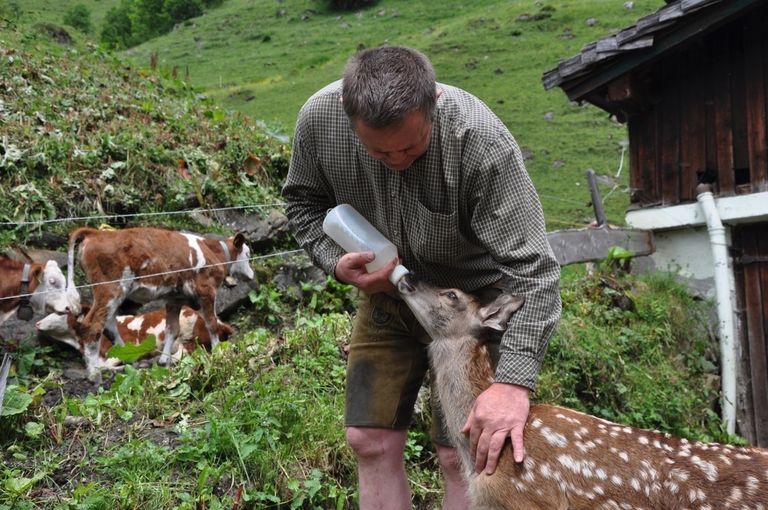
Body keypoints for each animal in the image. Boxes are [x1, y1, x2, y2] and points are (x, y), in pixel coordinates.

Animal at [66, 227, 252, 378]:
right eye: (248, 254)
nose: (252, 275)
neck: (215, 253)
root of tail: (95, 232)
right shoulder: (206, 291)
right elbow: (211, 324)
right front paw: (219, 353)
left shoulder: (174, 299)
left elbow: (172, 329)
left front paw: (164, 361)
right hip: (109, 289)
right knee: (93, 326)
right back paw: (94, 374)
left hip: (112, 295)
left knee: (109, 325)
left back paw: (131, 359)